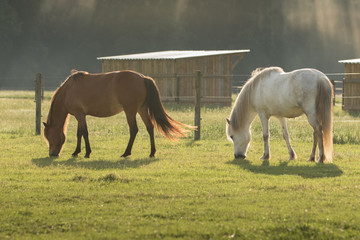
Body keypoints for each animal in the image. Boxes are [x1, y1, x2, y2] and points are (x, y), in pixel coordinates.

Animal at [43, 69, 194, 158]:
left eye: (49, 137)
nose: (52, 154)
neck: (69, 90)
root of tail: (142, 77)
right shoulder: (81, 116)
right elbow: (80, 133)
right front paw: (77, 152)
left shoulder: (80, 115)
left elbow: (84, 133)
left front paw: (86, 153)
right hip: (141, 109)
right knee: (150, 127)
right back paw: (152, 152)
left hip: (130, 111)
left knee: (134, 130)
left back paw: (126, 153)